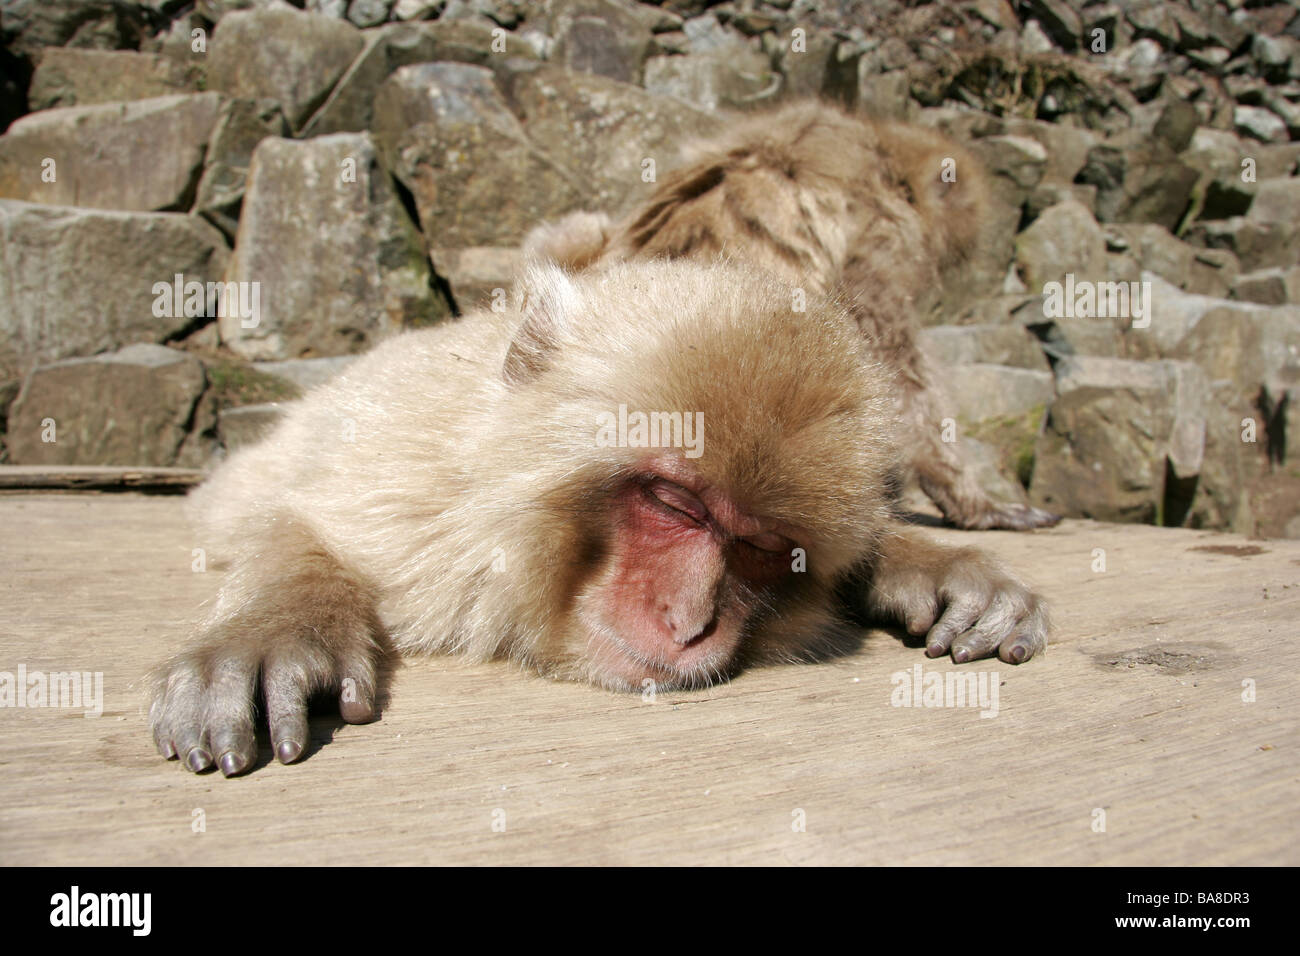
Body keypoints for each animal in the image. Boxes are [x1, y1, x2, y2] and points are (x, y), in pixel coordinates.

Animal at [149, 261, 1045, 780]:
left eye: (761, 547)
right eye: (675, 503)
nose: (689, 622)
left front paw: (936, 566)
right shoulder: (408, 491)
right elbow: (293, 521)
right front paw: (274, 627)